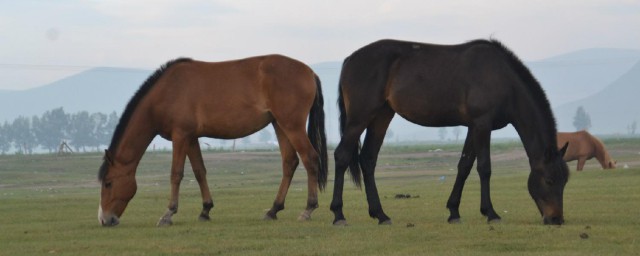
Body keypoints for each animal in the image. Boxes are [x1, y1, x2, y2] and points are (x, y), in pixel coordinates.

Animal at [97, 55, 328, 227]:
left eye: (108, 183)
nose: (104, 219)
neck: (167, 91)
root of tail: (309, 72)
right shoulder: (191, 138)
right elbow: (199, 171)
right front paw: (205, 210)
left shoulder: (180, 136)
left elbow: (176, 174)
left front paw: (168, 213)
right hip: (279, 125)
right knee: (290, 162)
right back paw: (273, 210)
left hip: (292, 126)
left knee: (310, 158)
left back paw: (308, 209)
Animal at [330, 38, 568, 226]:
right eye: (549, 180)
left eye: (565, 181)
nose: (556, 219)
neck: (502, 78)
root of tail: (350, 59)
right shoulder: (483, 124)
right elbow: (484, 168)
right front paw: (491, 213)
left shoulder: (474, 127)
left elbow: (464, 166)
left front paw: (454, 212)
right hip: (360, 118)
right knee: (342, 156)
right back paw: (338, 214)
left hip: (381, 116)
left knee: (368, 159)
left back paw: (380, 215)